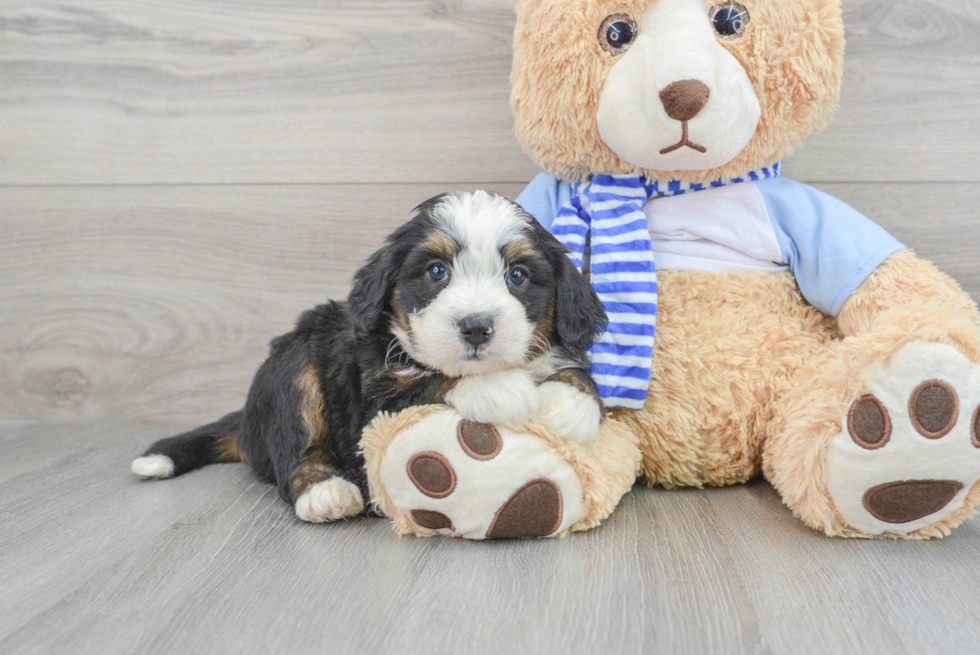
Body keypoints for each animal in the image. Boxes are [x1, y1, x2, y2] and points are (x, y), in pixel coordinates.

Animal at [130, 190, 604, 524]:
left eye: (518, 276)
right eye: (436, 272)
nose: (475, 327)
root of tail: (247, 423)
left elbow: (576, 374)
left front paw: (571, 405)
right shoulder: (370, 405)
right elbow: (432, 380)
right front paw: (499, 388)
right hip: (295, 364)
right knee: (296, 447)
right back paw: (325, 493)